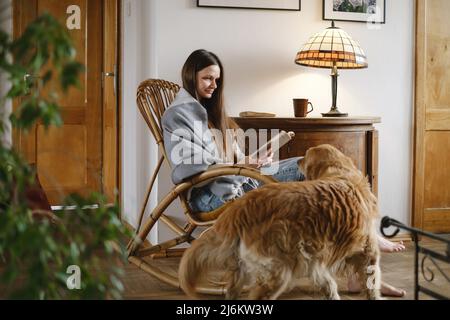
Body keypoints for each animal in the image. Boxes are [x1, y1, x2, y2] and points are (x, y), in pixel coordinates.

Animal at [178, 145, 382, 300]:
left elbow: (328, 283)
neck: (340, 173)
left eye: (305, 157)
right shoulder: (369, 252)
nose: (298, 160)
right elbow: (372, 283)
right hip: (279, 271)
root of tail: (240, 207)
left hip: (241, 270)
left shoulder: (315, 260)